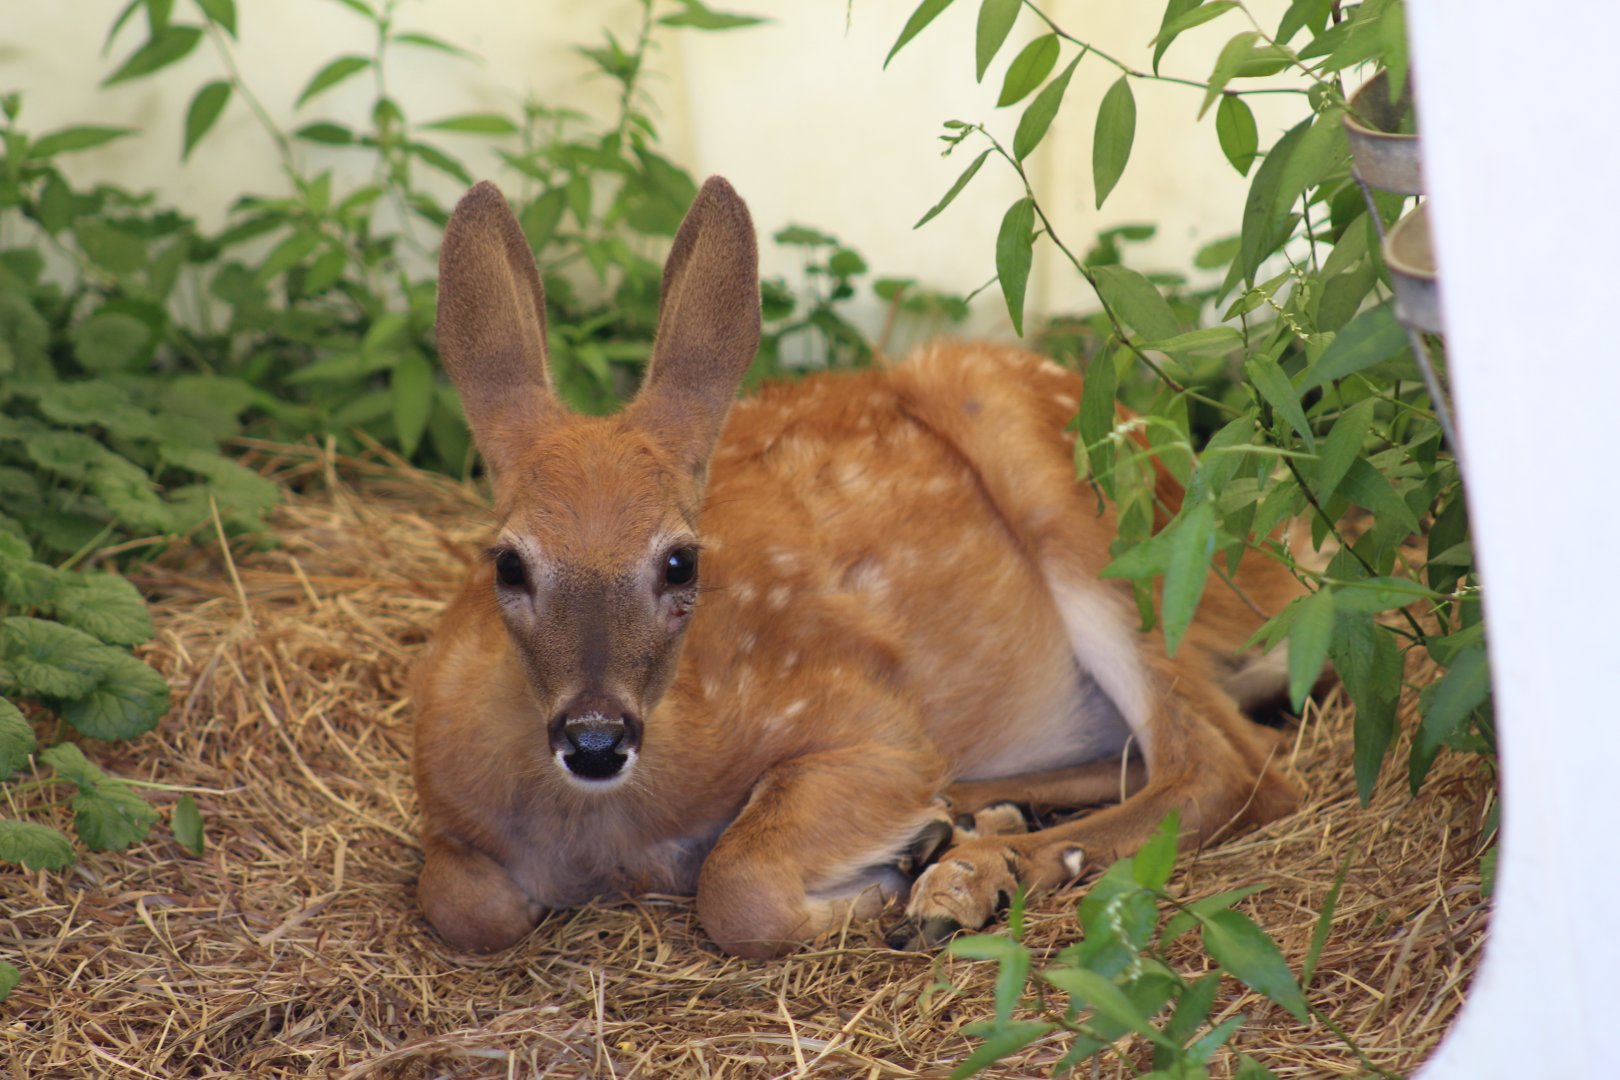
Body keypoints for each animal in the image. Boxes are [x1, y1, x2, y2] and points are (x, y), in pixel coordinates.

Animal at [410, 176, 1306, 959]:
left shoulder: (871, 719)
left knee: (1229, 767)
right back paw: (967, 824)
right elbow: (460, 902)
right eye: (508, 563)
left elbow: (736, 884)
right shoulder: (441, 806)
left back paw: (961, 873)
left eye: (679, 561)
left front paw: (878, 887)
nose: (595, 737)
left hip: (1109, 531)